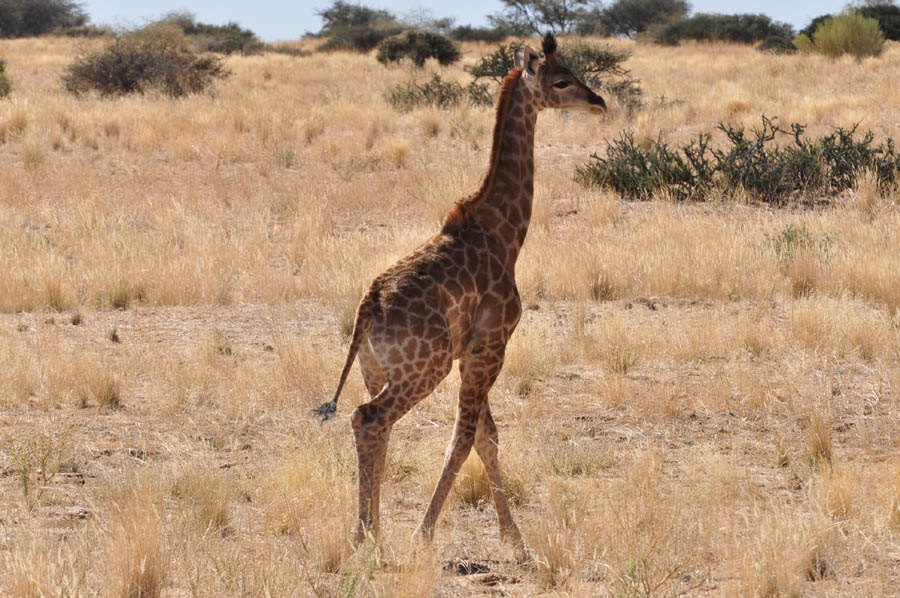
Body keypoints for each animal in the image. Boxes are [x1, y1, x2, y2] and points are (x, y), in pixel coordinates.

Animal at [316, 32, 607, 551]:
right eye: (562, 80)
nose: (598, 101)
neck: (502, 234)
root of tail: (368, 308)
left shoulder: (473, 349)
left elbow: (487, 437)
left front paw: (515, 540)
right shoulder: (490, 344)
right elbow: (466, 437)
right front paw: (425, 533)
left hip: (377, 370)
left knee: (372, 427)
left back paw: (371, 535)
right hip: (422, 369)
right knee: (369, 419)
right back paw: (372, 537)